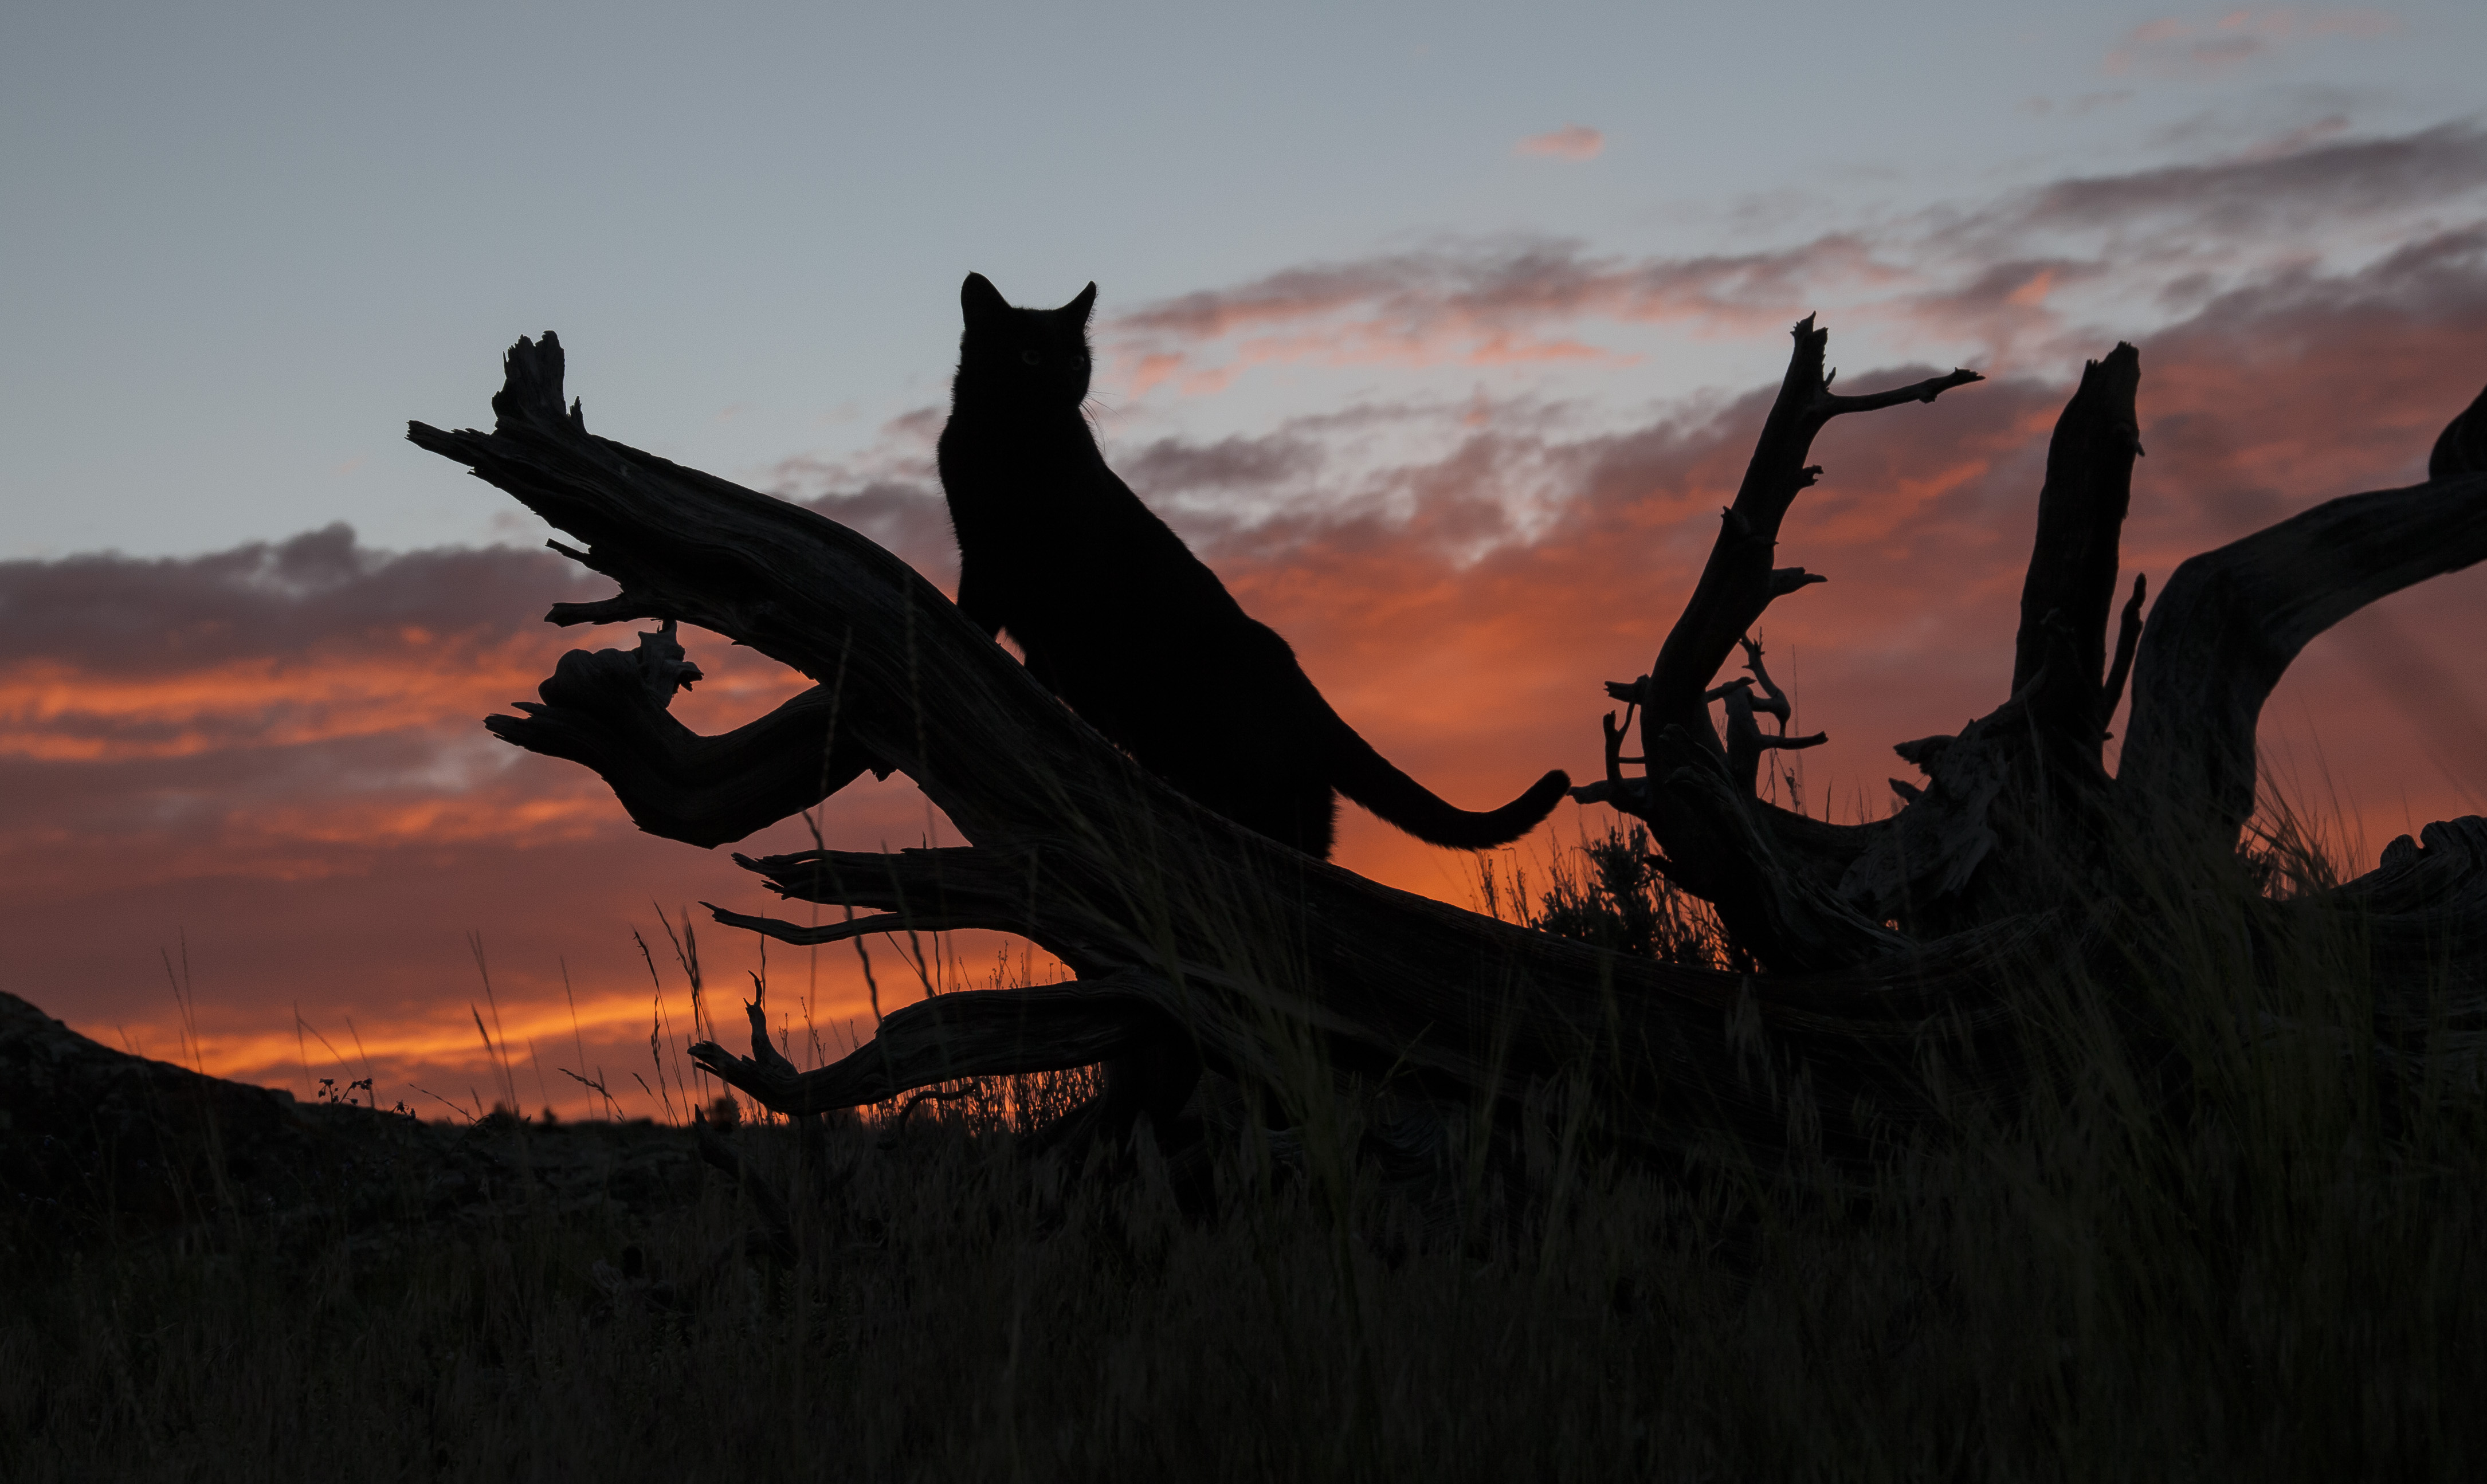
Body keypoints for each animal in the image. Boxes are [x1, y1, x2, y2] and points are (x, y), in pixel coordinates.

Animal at [940, 273, 1562, 855]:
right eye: (1029, 356)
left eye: (1075, 359)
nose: (1064, 381)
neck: (1007, 450)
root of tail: (1308, 693)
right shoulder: (982, 562)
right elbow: (972, 623)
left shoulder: (1064, 589)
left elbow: (1043, 665)